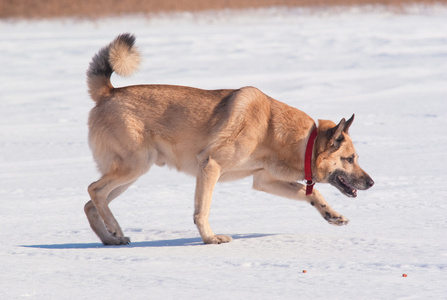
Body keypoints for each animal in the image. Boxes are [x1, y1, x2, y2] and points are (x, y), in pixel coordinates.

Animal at [83, 32, 374, 245]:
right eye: (349, 159)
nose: (371, 183)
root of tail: (108, 92)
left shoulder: (264, 180)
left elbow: (311, 193)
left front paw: (332, 214)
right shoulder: (210, 167)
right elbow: (202, 210)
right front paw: (210, 239)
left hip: (131, 174)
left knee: (90, 204)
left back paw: (111, 239)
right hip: (135, 166)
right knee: (94, 191)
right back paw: (115, 230)